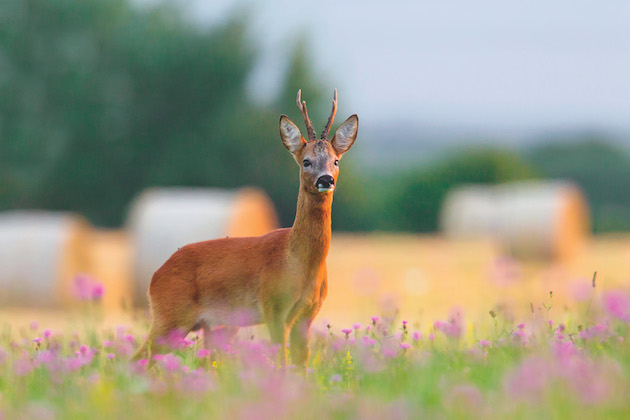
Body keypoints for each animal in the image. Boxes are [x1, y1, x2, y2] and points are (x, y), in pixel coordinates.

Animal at [132, 89, 360, 370]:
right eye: (306, 161)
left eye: (336, 161)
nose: (325, 180)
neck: (298, 262)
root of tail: (154, 277)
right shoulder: (274, 307)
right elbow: (281, 361)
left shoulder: (307, 314)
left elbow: (301, 365)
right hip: (171, 316)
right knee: (135, 359)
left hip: (213, 325)